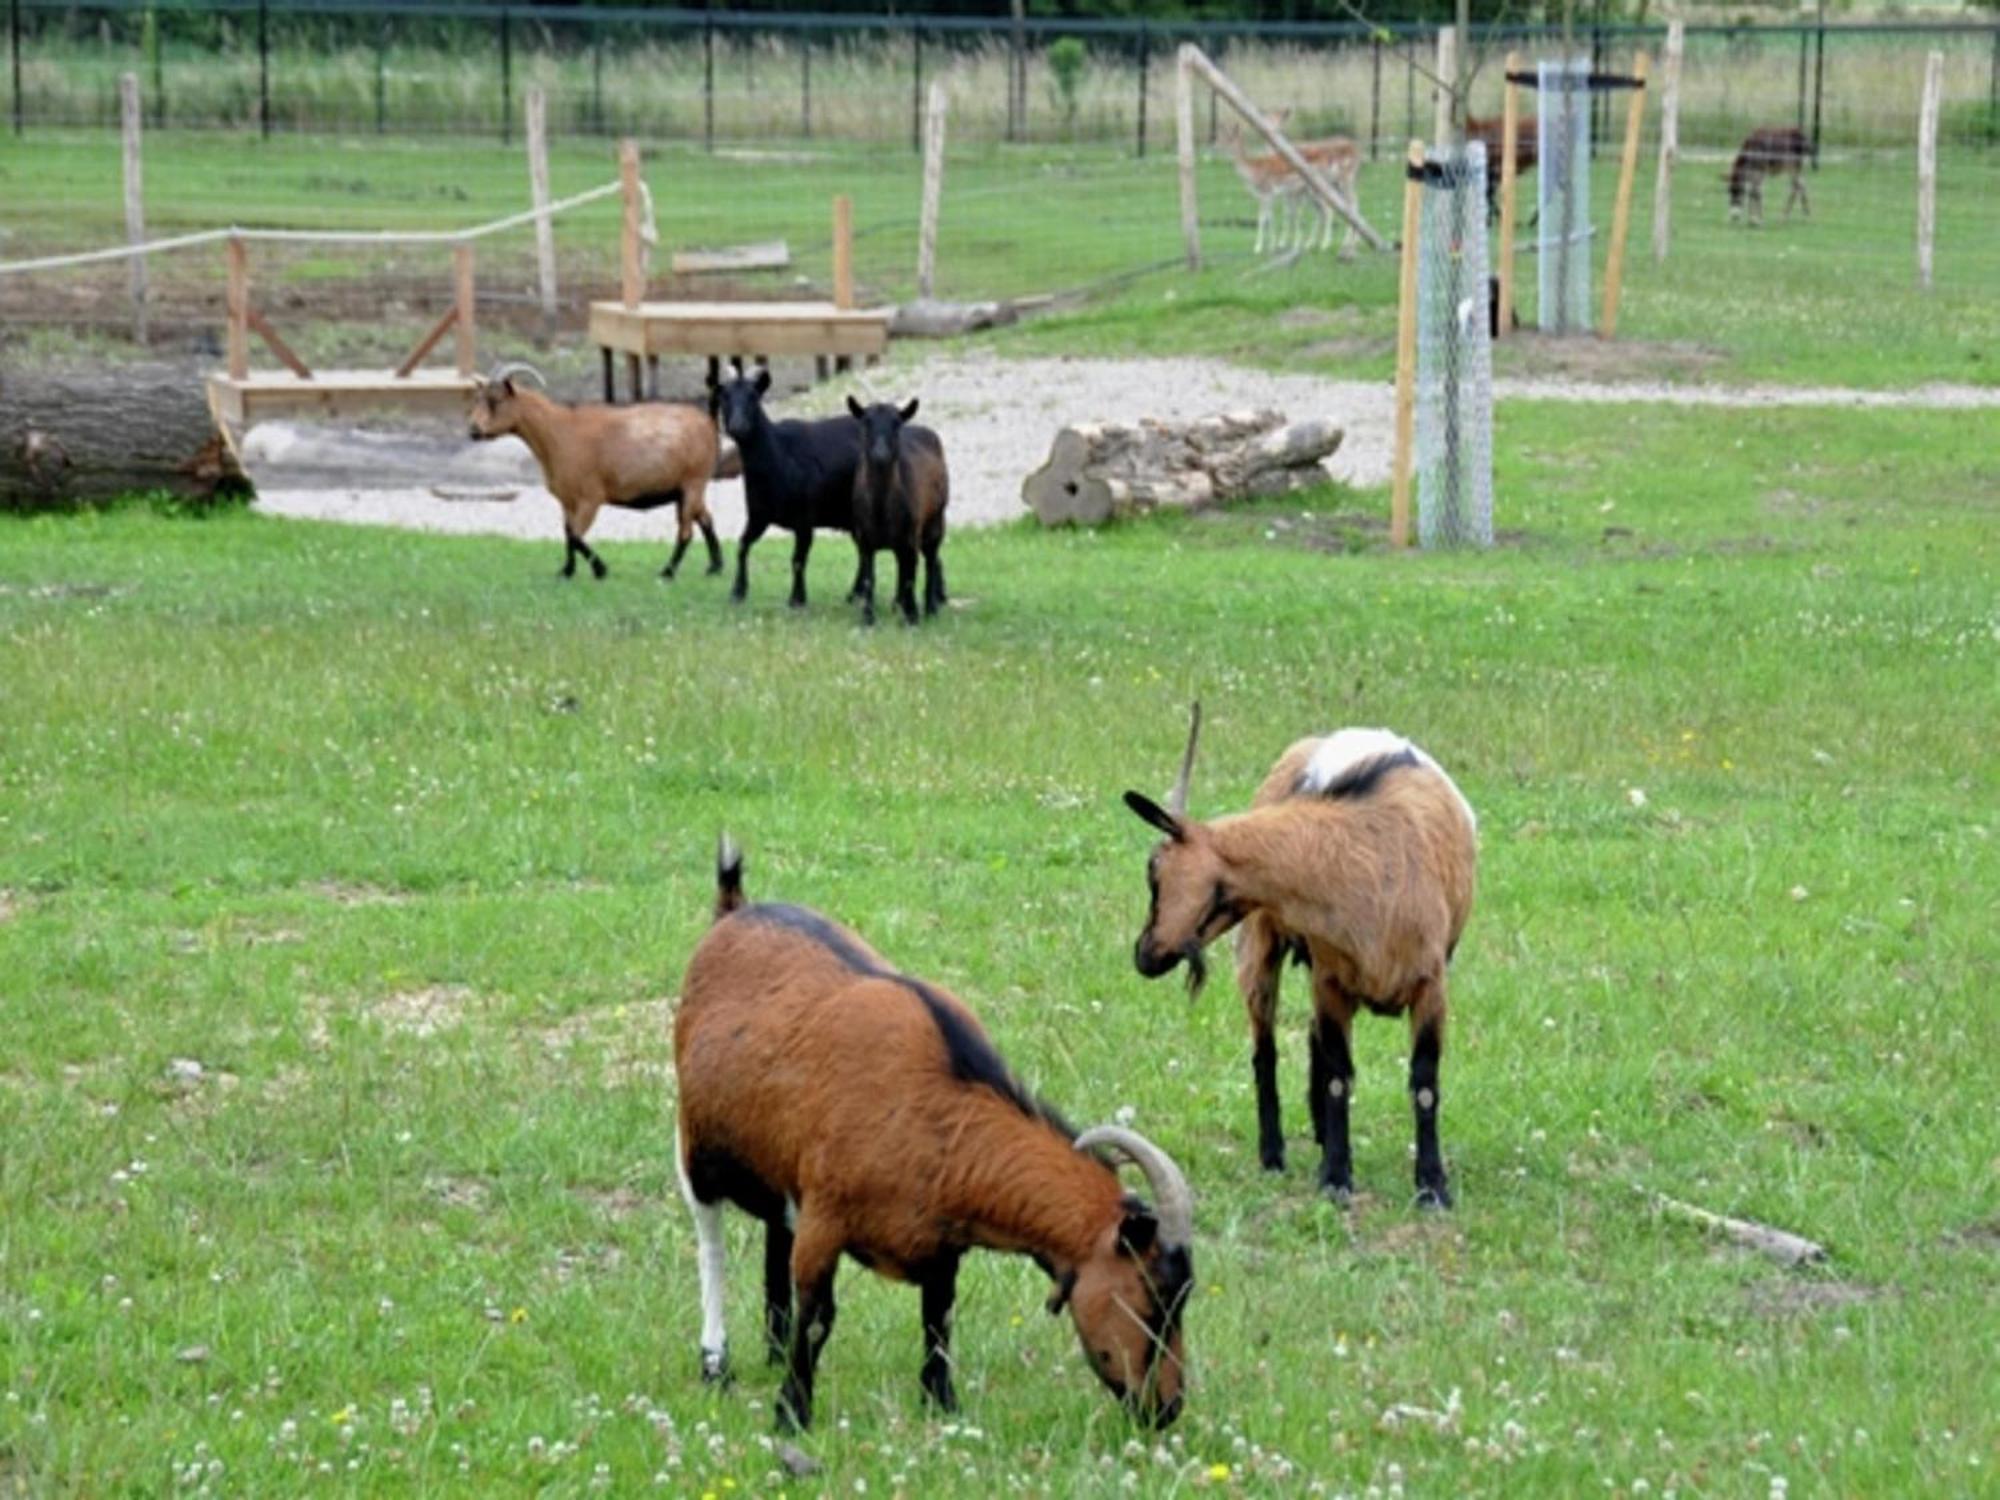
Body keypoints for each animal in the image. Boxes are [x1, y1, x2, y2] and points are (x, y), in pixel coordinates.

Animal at [464, 368, 724, 588]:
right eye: (476, 400)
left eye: (495, 401)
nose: (474, 430)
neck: (559, 433)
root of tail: (708, 425)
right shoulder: (567, 501)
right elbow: (568, 533)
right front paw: (567, 571)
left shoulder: (591, 498)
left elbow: (576, 535)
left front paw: (600, 570)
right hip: (686, 489)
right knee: (706, 520)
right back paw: (715, 567)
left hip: (693, 482)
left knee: (686, 532)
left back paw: (667, 573)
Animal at [680, 840, 1192, 1440]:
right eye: (1153, 1297)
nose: (1168, 1407)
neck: (938, 1109)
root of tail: (734, 910)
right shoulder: (825, 1217)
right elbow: (819, 1316)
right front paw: (791, 1415)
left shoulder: (943, 1242)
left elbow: (939, 1314)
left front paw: (942, 1404)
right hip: (696, 1148)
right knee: (711, 1242)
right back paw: (717, 1363)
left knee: (773, 1237)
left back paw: (773, 1350)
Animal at [712, 366, 868, 612]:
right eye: (724, 396)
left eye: (753, 396)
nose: (738, 427)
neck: (780, 456)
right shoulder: (758, 515)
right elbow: (742, 545)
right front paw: (738, 592)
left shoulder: (804, 519)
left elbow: (797, 560)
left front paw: (797, 599)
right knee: (863, 551)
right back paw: (855, 594)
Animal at [844, 396, 952, 624]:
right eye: (866, 422)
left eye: (896, 424)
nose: (880, 455)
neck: (881, 510)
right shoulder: (864, 539)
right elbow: (869, 578)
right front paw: (868, 618)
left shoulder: (910, 537)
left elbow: (910, 575)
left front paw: (912, 617)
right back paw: (898, 603)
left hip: (936, 520)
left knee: (930, 559)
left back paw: (930, 607)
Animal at [1120, 712, 1480, 1216]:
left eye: (1154, 874)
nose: (1144, 954)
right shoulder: (1330, 980)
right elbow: (1337, 1077)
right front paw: (1335, 1178)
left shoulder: (1431, 985)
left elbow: (1424, 1083)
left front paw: (1431, 1186)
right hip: (1262, 947)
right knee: (1266, 1051)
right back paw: (1274, 1153)